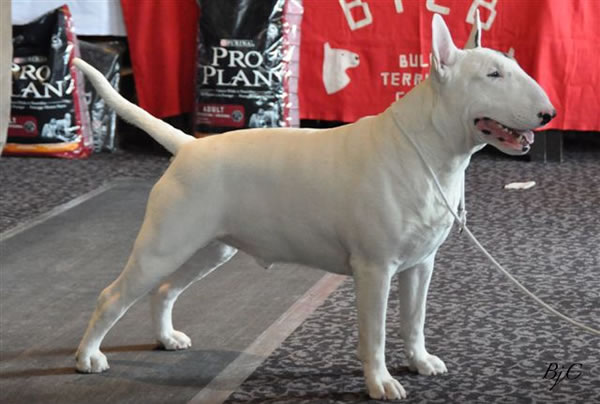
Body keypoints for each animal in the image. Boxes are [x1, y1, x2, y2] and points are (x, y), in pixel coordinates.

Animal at [73, 13, 554, 400]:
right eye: (493, 75)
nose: (549, 114)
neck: (430, 151)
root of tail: (189, 145)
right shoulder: (374, 269)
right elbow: (375, 333)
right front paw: (381, 383)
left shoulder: (421, 264)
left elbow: (414, 319)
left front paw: (421, 362)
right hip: (164, 244)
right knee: (113, 296)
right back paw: (88, 357)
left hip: (212, 247)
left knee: (164, 290)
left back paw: (167, 337)